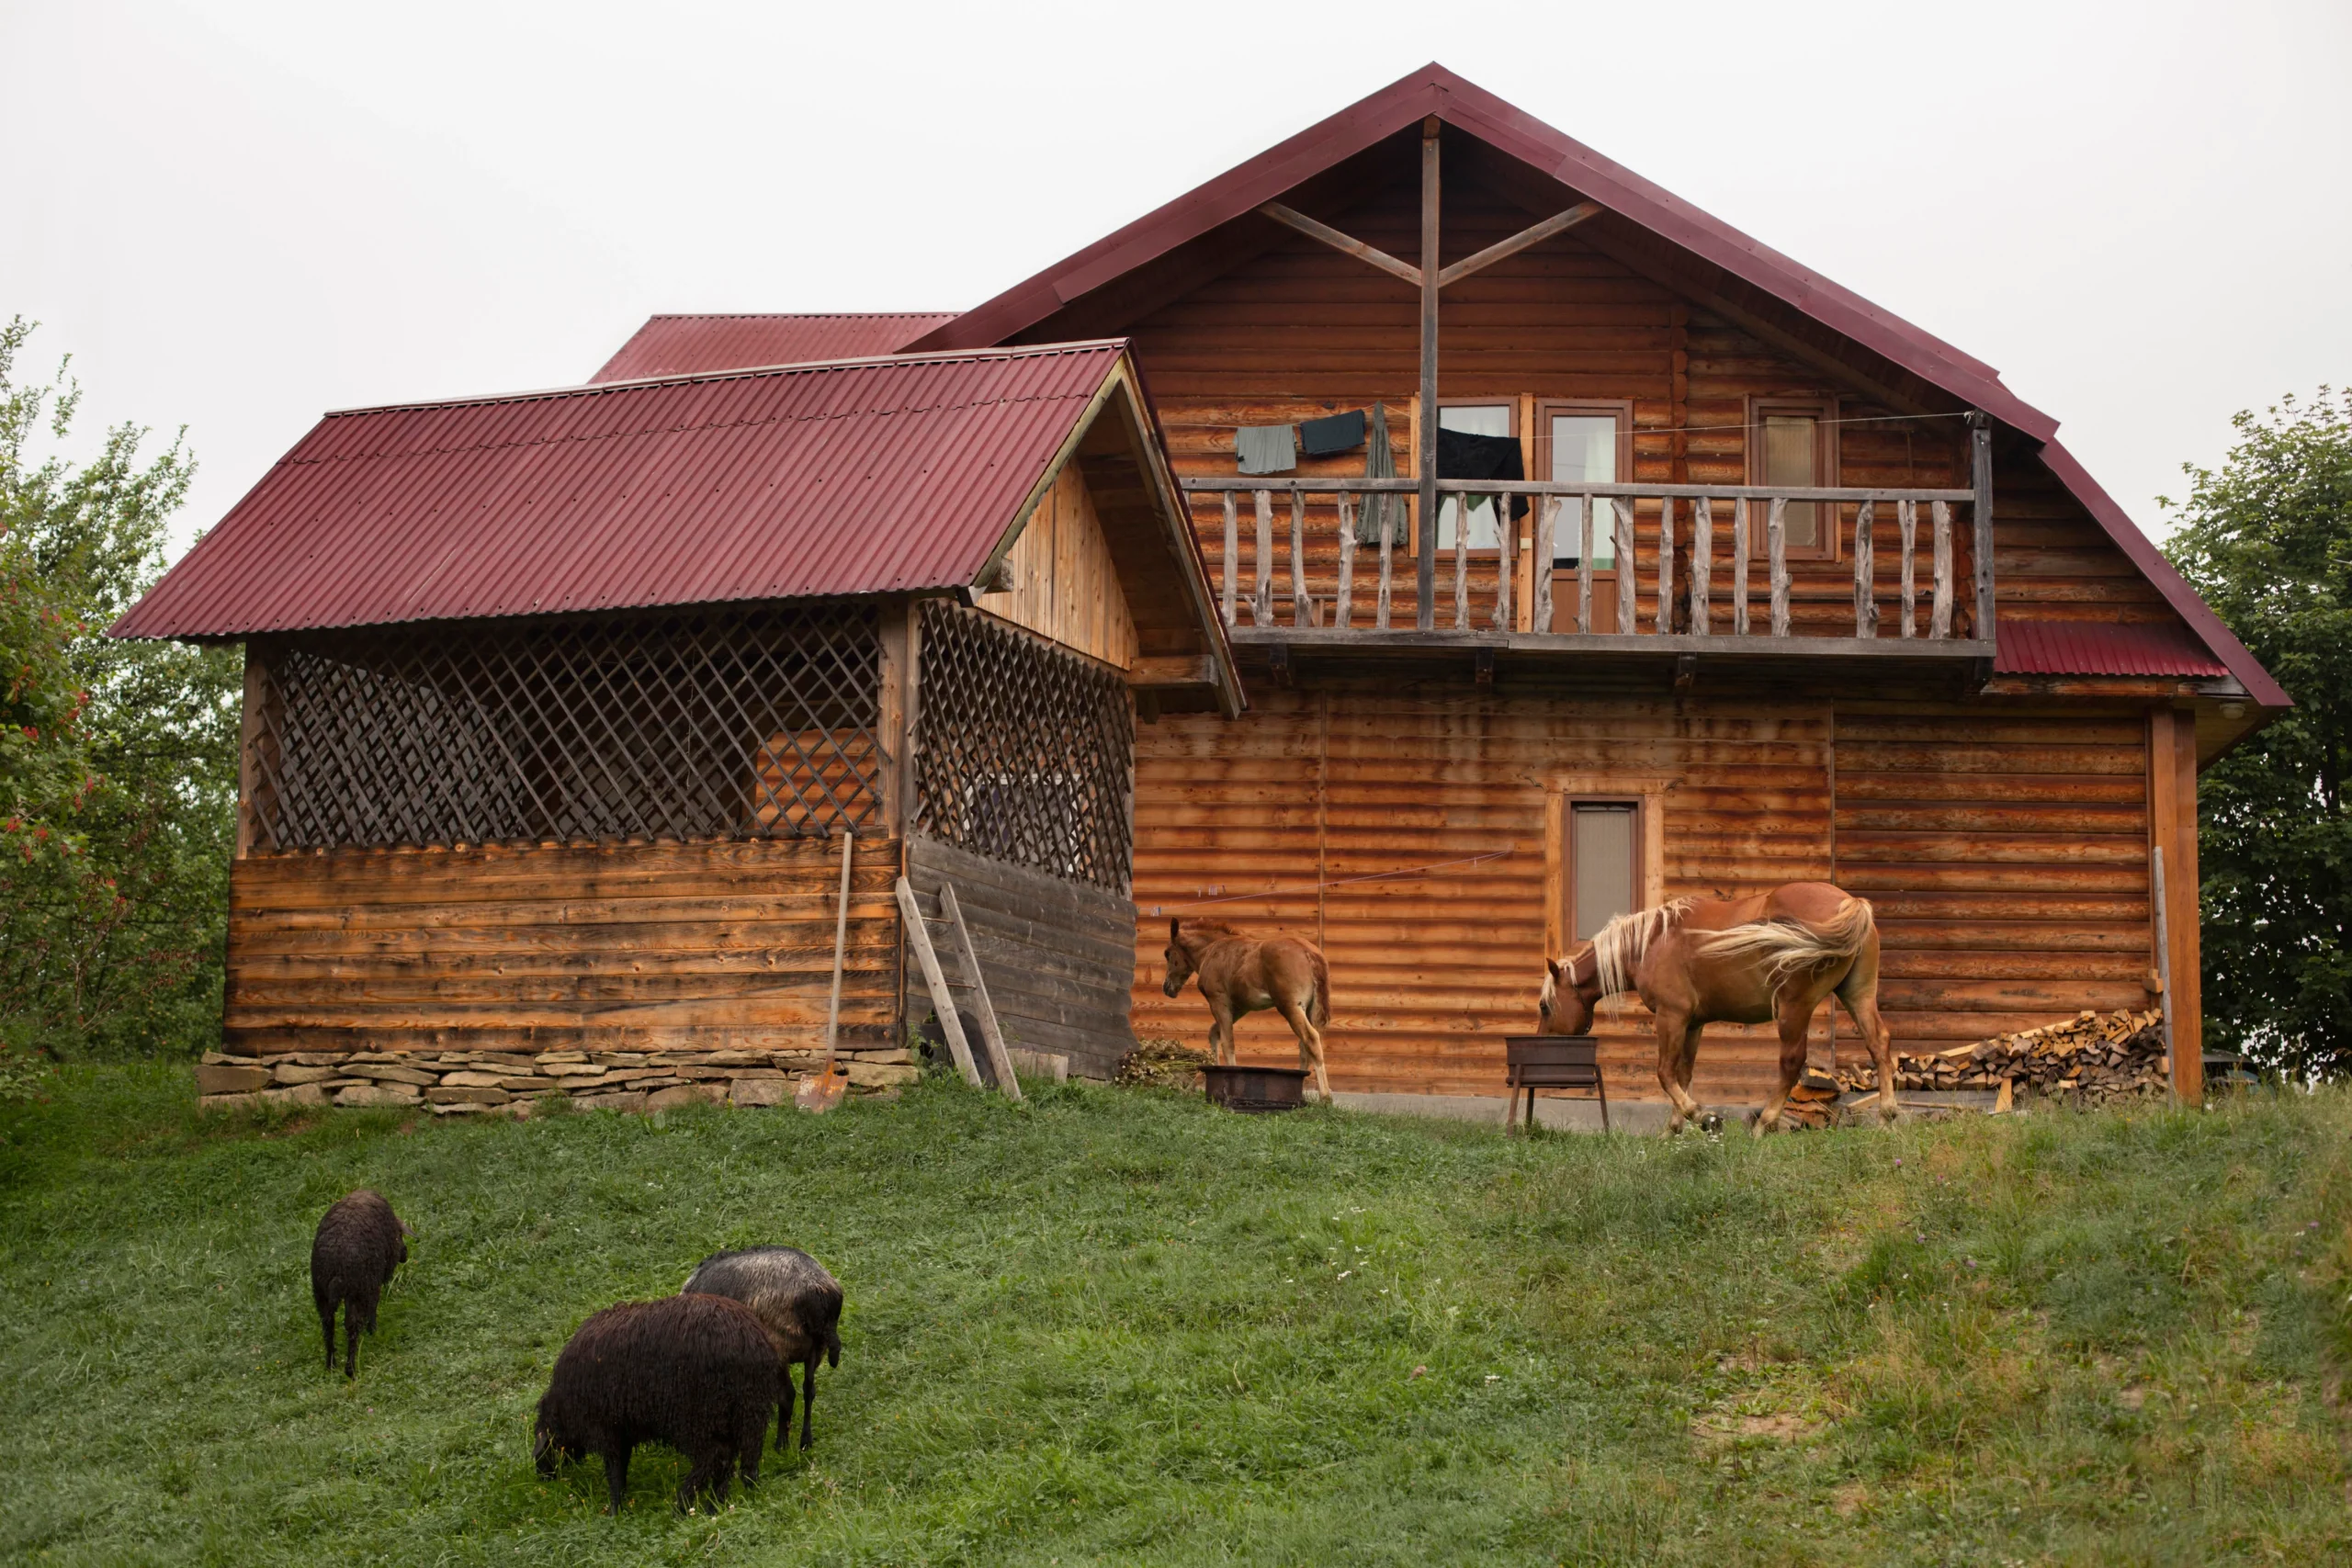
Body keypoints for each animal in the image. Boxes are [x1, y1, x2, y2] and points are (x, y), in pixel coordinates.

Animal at [310, 1194, 412, 1382]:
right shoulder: (372, 1285)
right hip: (356, 1290)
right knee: (352, 1327)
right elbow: (373, 1307)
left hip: (321, 1292)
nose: (405, 1255)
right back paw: (350, 1370)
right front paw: (373, 1331)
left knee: (328, 1325)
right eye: (400, 1234)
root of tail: (336, 1267)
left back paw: (330, 1365)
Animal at [534, 1297, 780, 1514]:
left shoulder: (606, 1427)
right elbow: (621, 1465)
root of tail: (749, 1340)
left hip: (697, 1416)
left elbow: (614, 1469)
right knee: (740, 1458)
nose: (541, 1474)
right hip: (747, 1411)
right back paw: (721, 1502)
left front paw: (615, 1510)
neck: (564, 1408)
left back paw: (682, 1504)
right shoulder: (622, 1429)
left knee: (712, 1457)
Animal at [682, 1241, 846, 1457]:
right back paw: (805, 1442)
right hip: (816, 1348)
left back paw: (781, 1445)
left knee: (788, 1395)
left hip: (780, 1346)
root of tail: (817, 1293)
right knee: (809, 1390)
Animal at [1161, 921, 1336, 1104]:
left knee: (1311, 1038)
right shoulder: (1240, 1007)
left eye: (1167, 953)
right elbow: (1214, 1033)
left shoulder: (1218, 1000)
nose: (1166, 988)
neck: (1210, 949)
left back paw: (1325, 1097)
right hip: (1310, 1009)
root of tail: (1310, 953)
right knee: (1306, 1044)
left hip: (1290, 1006)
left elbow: (1227, 1042)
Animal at [1533, 879, 1900, 1133]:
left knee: (1792, 1061)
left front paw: (1702, 1116)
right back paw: (1886, 1118)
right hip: (1857, 995)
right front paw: (1673, 1130)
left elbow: (1665, 1074)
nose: (1543, 1045)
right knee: (1878, 1043)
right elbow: (1683, 1075)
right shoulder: (1693, 1024)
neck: (1652, 942)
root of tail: (1851, 903)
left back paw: (1763, 1125)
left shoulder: (1671, 1017)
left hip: (1795, 1007)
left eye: (1544, 1007)